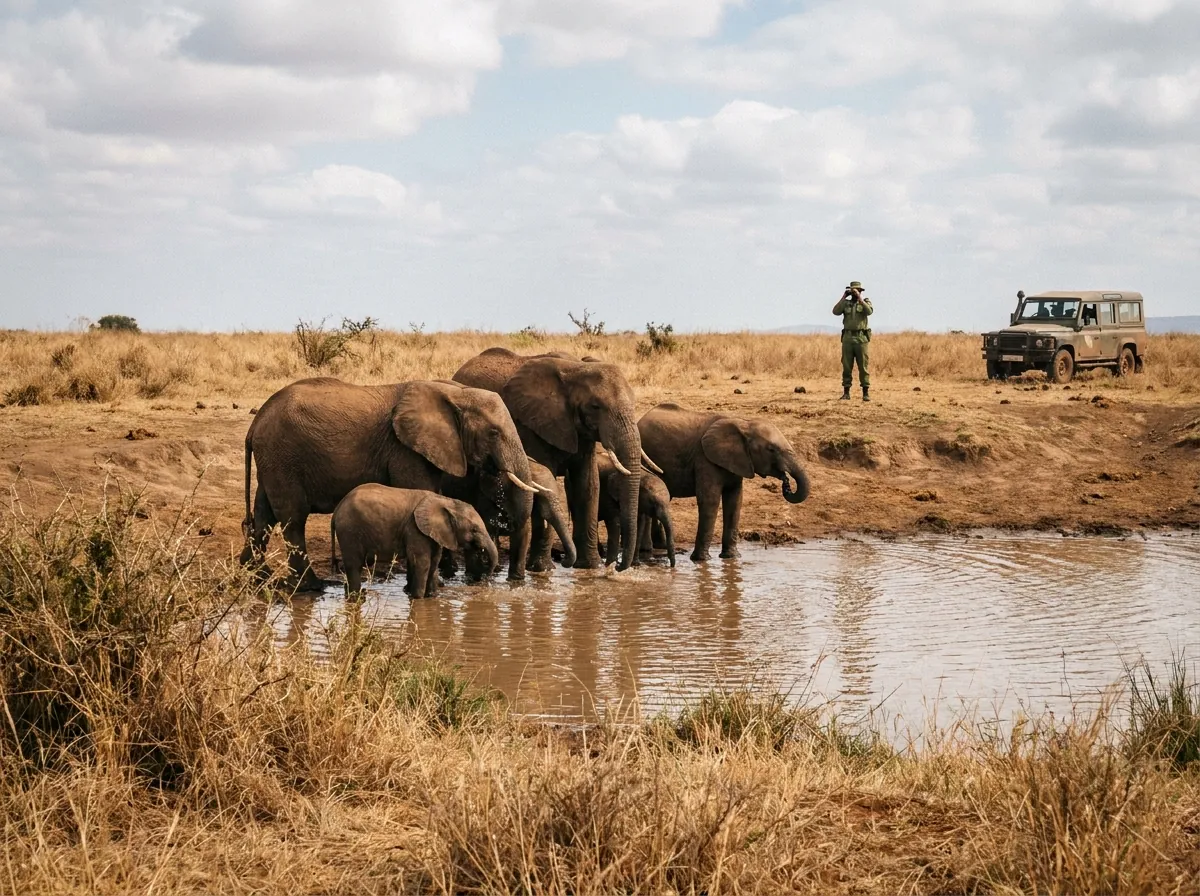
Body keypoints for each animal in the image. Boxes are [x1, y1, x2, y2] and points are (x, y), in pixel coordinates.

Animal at [330, 485, 498, 597]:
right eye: (474, 529)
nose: (486, 579)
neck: (446, 501)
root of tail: (337, 509)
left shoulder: (433, 532)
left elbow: (433, 561)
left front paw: (430, 596)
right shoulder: (414, 528)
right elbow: (422, 562)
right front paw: (418, 599)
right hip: (349, 530)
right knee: (354, 564)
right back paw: (356, 595)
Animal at [452, 348, 662, 571]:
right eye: (595, 406)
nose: (618, 566)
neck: (577, 369)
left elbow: (587, 484)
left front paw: (590, 566)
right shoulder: (532, 424)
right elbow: (547, 481)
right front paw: (542, 569)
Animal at [637, 403, 811, 562]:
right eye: (771, 449)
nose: (786, 484)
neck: (744, 424)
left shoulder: (737, 462)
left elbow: (735, 501)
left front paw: (731, 558)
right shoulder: (704, 459)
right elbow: (710, 501)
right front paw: (701, 560)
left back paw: (659, 546)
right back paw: (648, 550)